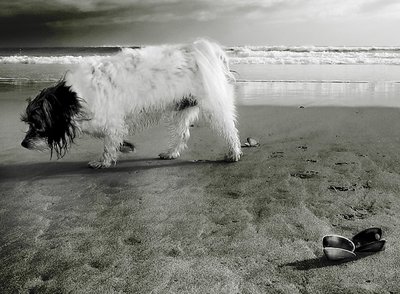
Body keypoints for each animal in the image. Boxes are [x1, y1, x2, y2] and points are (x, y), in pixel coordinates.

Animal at [21, 39, 241, 168]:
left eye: (37, 125)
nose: (23, 144)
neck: (75, 96)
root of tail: (199, 48)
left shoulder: (112, 121)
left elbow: (109, 144)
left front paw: (104, 162)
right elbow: (113, 140)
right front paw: (124, 148)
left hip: (213, 105)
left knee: (229, 128)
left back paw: (233, 152)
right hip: (181, 108)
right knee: (182, 134)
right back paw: (171, 152)